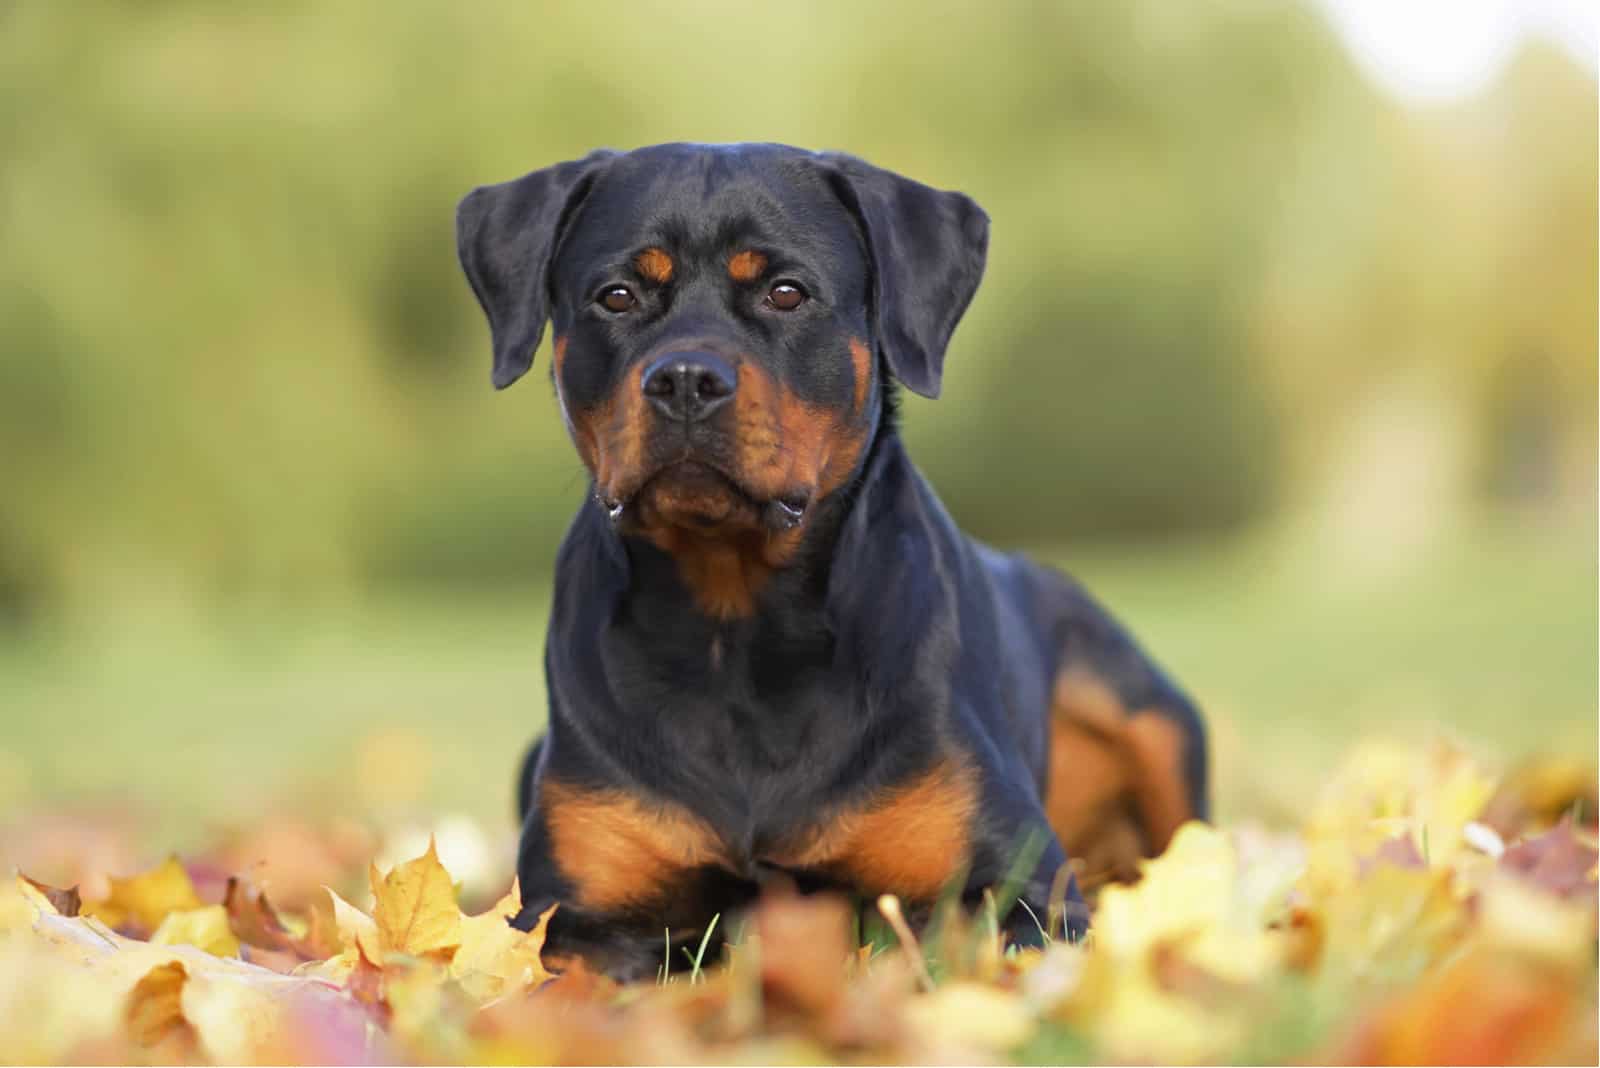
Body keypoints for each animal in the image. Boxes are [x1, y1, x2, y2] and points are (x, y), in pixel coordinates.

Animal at [457, 146, 1203, 978]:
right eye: (616, 296)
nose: (684, 378)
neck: (734, 625)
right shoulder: (579, 919)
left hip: (1143, 711)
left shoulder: (1021, 890)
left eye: (786, 292)